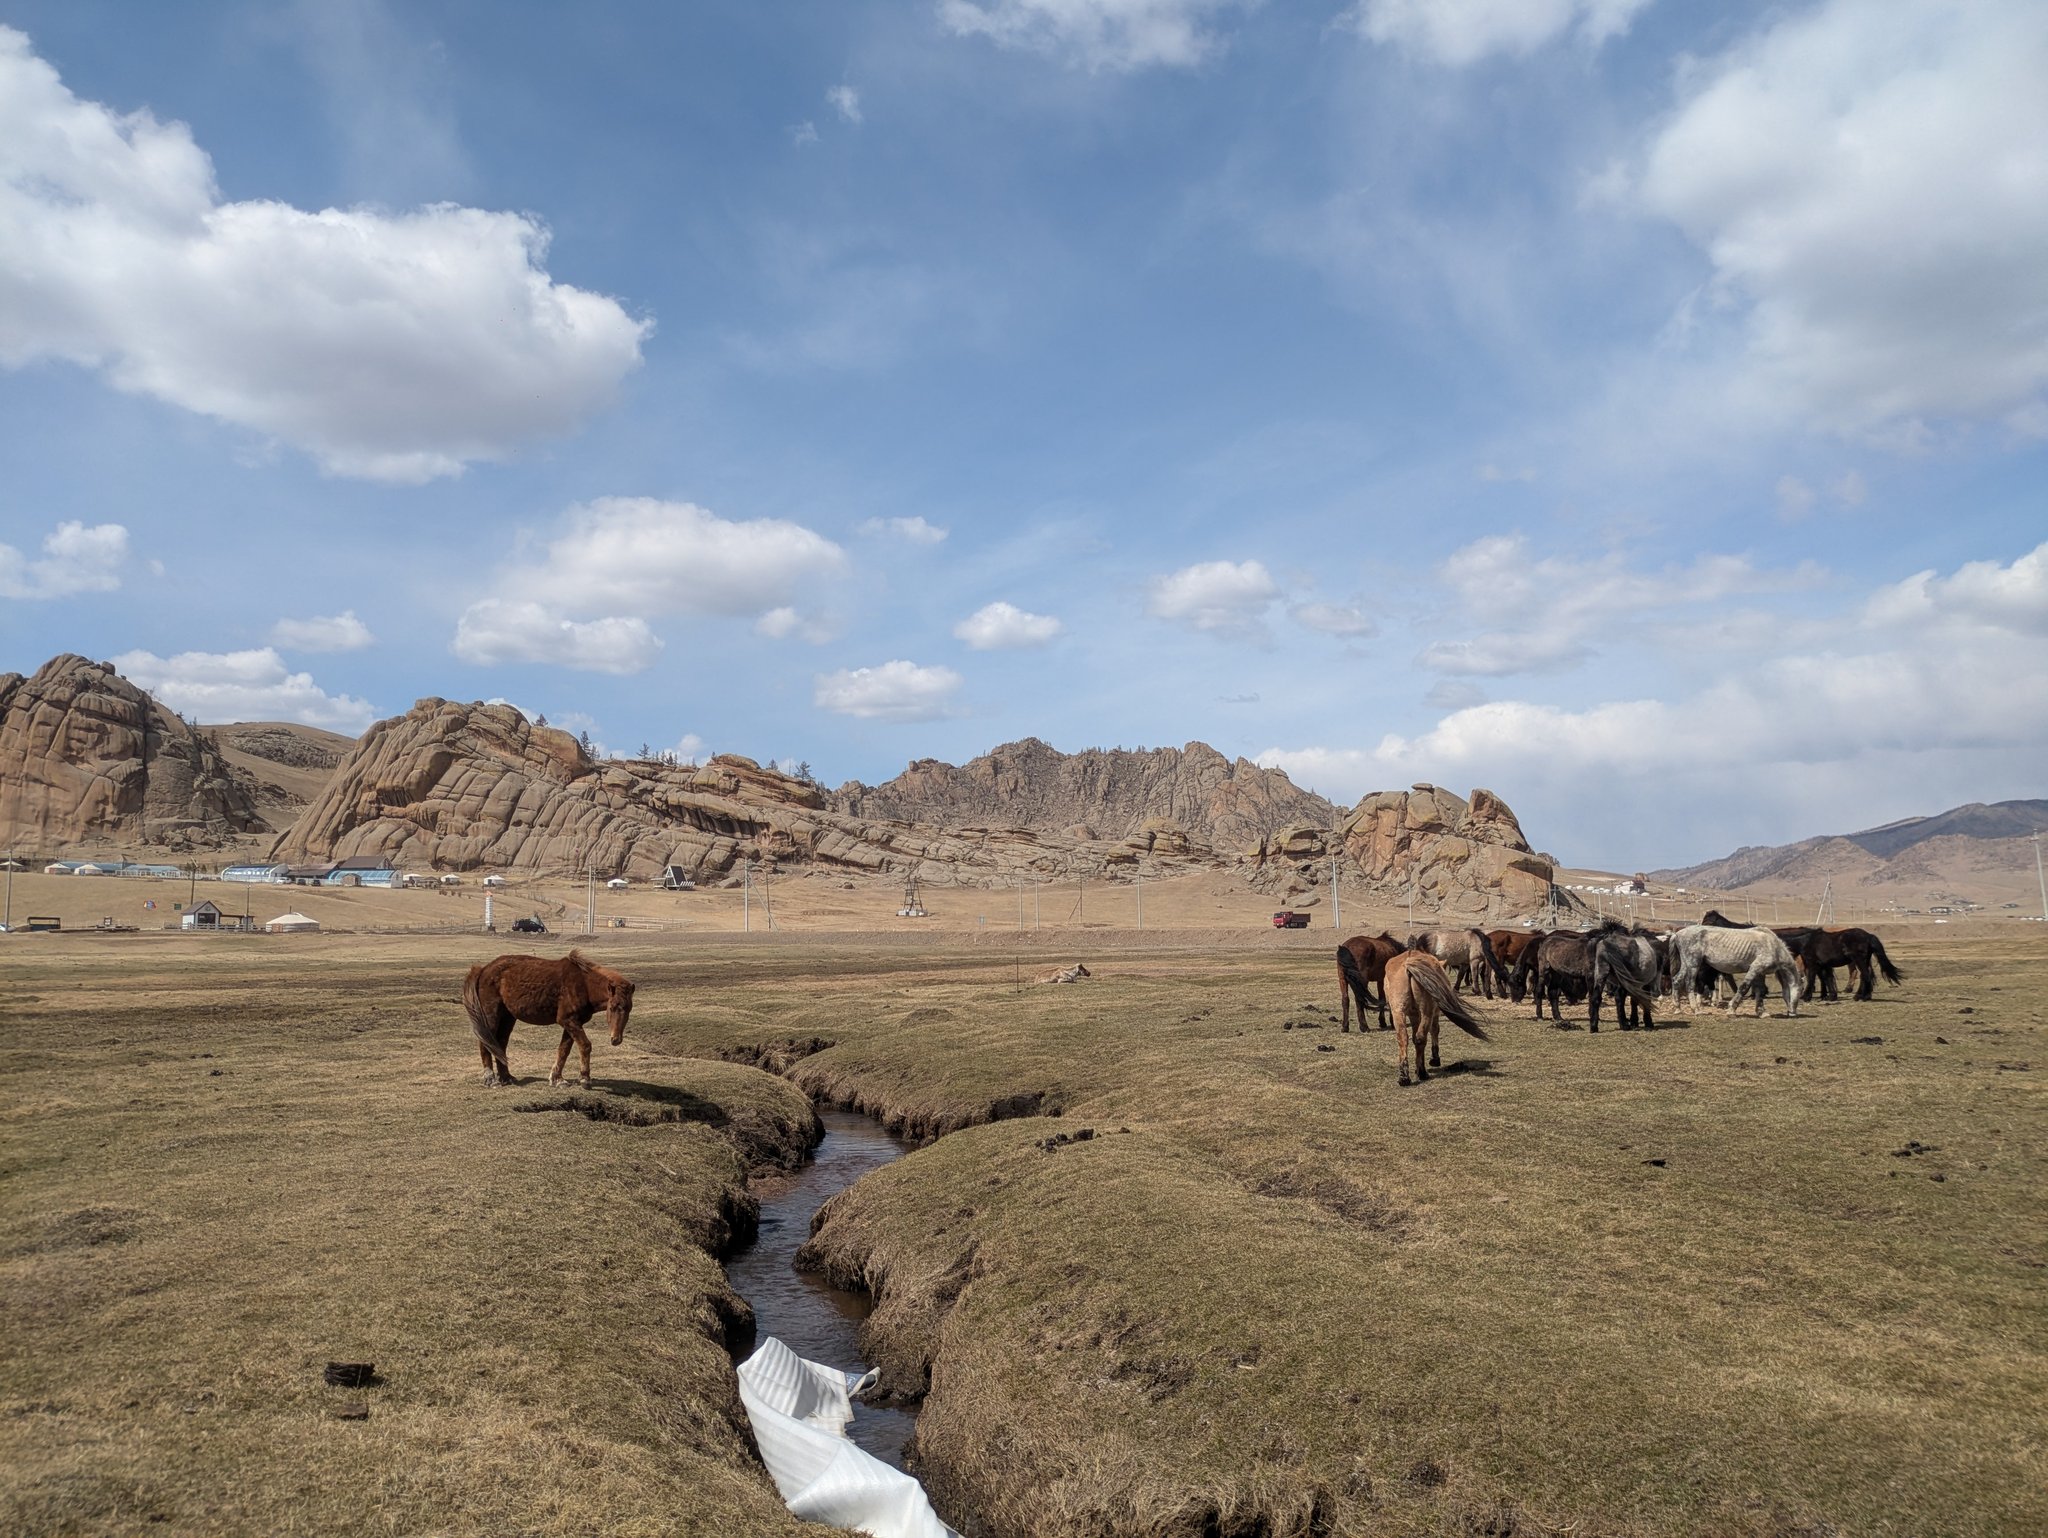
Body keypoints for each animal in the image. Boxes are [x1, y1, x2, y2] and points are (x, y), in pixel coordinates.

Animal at [463, 950, 636, 1087]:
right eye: (612, 1007)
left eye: (629, 1009)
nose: (616, 1039)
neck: (584, 985)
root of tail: (483, 969)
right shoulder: (568, 1020)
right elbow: (585, 1045)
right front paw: (585, 1079)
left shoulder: (573, 1023)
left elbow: (564, 1050)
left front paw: (557, 1079)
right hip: (491, 1015)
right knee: (485, 1043)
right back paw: (491, 1079)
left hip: (508, 1017)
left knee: (500, 1044)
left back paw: (507, 1077)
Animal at [1383, 950, 1490, 1086]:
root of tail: (1408, 965)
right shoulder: (1434, 1014)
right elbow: (1434, 1031)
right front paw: (1434, 1059)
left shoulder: (1414, 1015)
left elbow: (1414, 1036)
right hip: (1426, 1012)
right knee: (1421, 1037)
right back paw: (1422, 1072)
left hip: (1398, 1012)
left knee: (1403, 1038)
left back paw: (1404, 1077)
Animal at [1666, 925, 1801, 1017]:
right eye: (1800, 992)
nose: (1793, 1012)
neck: (1772, 945)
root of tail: (1677, 934)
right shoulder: (1755, 968)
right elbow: (1743, 988)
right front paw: (1732, 1010)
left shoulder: (1759, 973)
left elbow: (1759, 991)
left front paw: (1761, 1012)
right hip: (1693, 964)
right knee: (1689, 984)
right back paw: (1697, 1010)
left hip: (1686, 965)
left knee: (1676, 980)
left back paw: (1678, 1008)